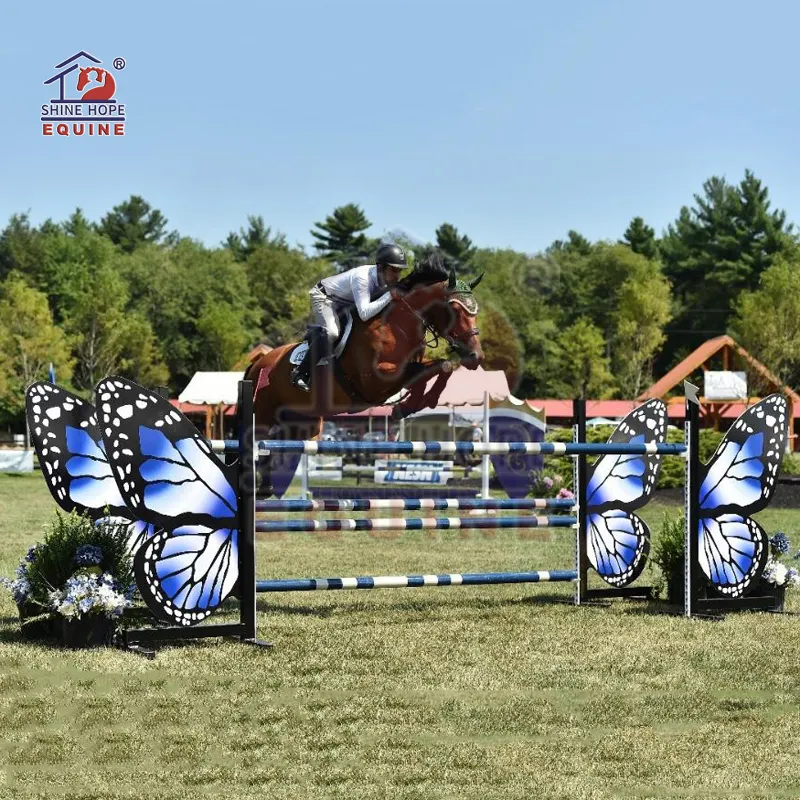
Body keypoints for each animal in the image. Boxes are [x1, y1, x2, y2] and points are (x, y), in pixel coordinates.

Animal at [244, 260, 482, 444]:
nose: (476, 357)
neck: (397, 326)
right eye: (456, 309)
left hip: (305, 421)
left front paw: (414, 404)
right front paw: (409, 404)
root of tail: (258, 364)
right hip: (263, 416)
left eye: (475, 311)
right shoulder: (377, 380)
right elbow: (425, 371)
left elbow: (442, 366)